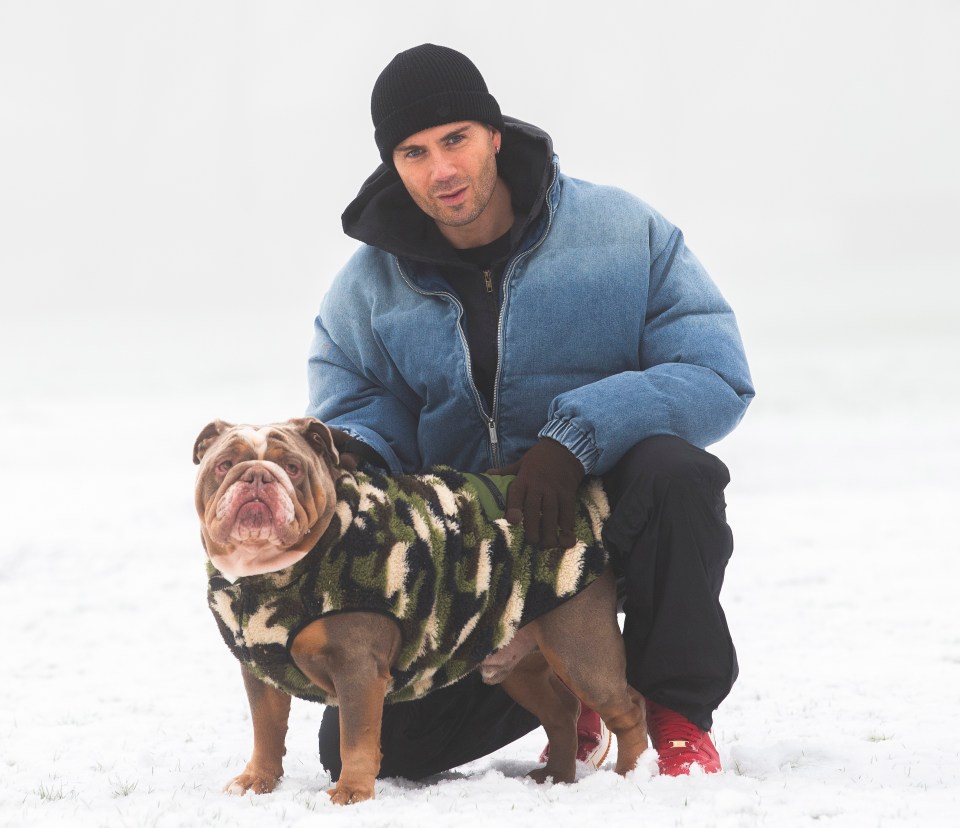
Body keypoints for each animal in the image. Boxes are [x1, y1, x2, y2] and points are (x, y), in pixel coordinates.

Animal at [194, 418, 644, 804]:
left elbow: (354, 738)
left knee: (627, 707)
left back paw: (631, 776)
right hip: (519, 663)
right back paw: (557, 777)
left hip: (579, 648)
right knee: (562, 711)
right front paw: (257, 782)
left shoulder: (357, 668)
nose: (257, 476)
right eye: (224, 464)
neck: (269, 576)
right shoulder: (260, 671)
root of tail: (582, 504)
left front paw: (351, 793)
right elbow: (266, 731)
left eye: (292, 467)